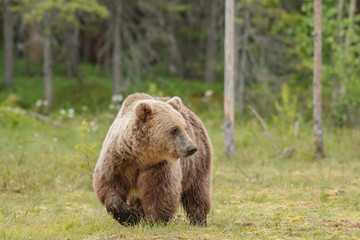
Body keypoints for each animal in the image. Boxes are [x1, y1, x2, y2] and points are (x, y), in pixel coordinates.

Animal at [92, 93, 214, 226]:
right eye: (174, 129)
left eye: (184, 128)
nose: (191, 148)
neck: (142, 155)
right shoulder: (117, 160)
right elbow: (109, 184)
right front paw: (130, 215)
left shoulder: (159, 166)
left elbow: (161, 191)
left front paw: (153, 221)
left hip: (197, 163)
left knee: (197, 191)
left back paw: (198, 219)